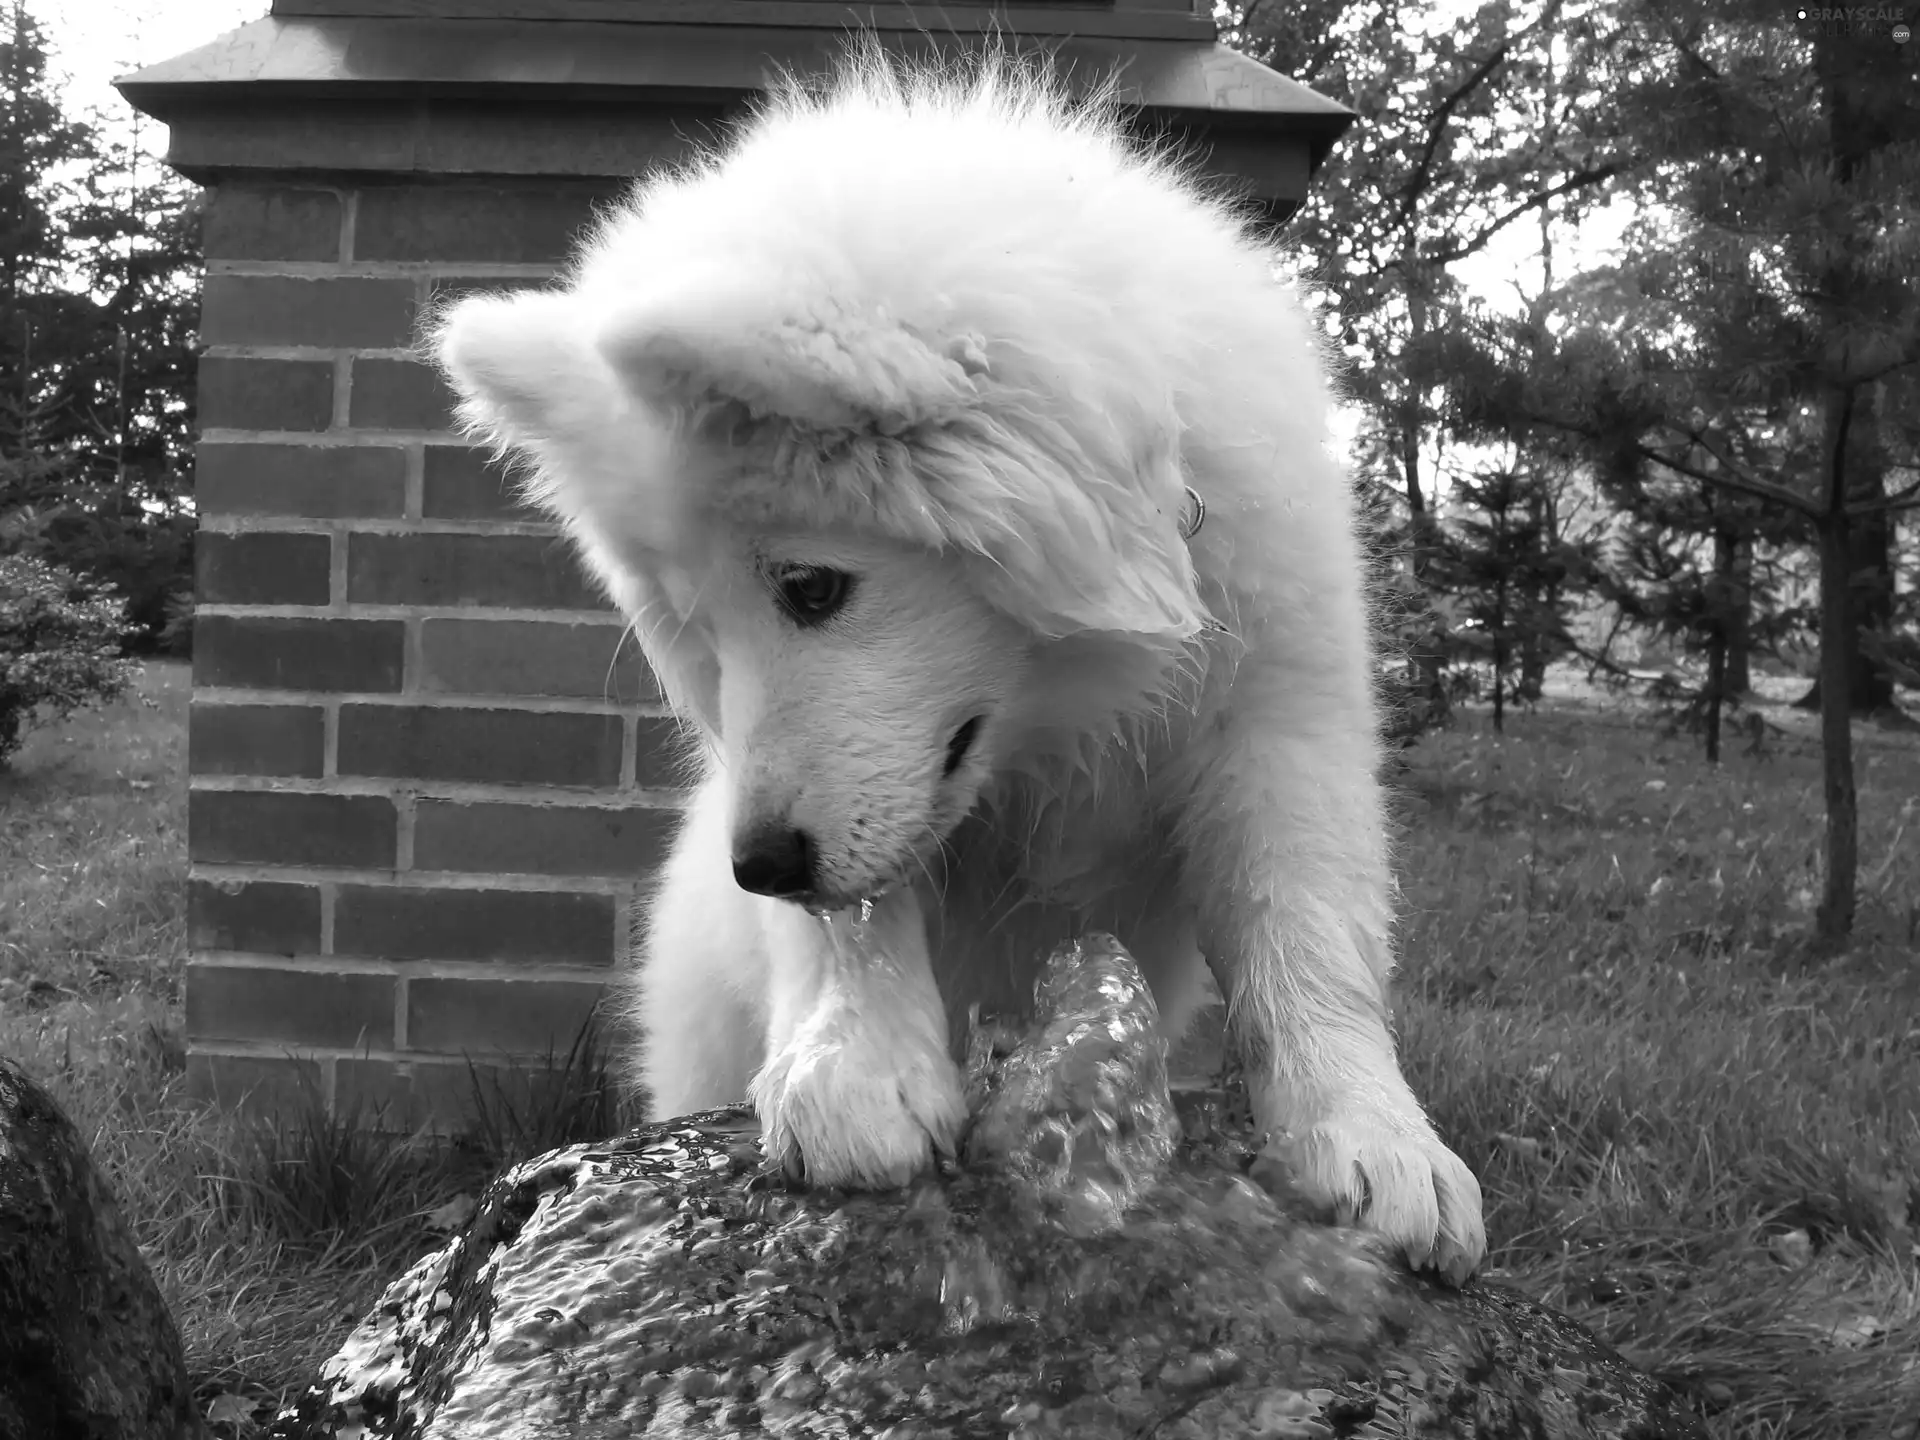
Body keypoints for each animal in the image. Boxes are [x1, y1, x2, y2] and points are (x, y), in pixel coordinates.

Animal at [439, 50, 1482, 1282]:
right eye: (698, 632)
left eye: (811, 588)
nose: (758, 869)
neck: (1063, 712)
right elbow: (858, 917)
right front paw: (854, 1068)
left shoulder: (1282, 719)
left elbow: (1309, 938)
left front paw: (1372, 1135)